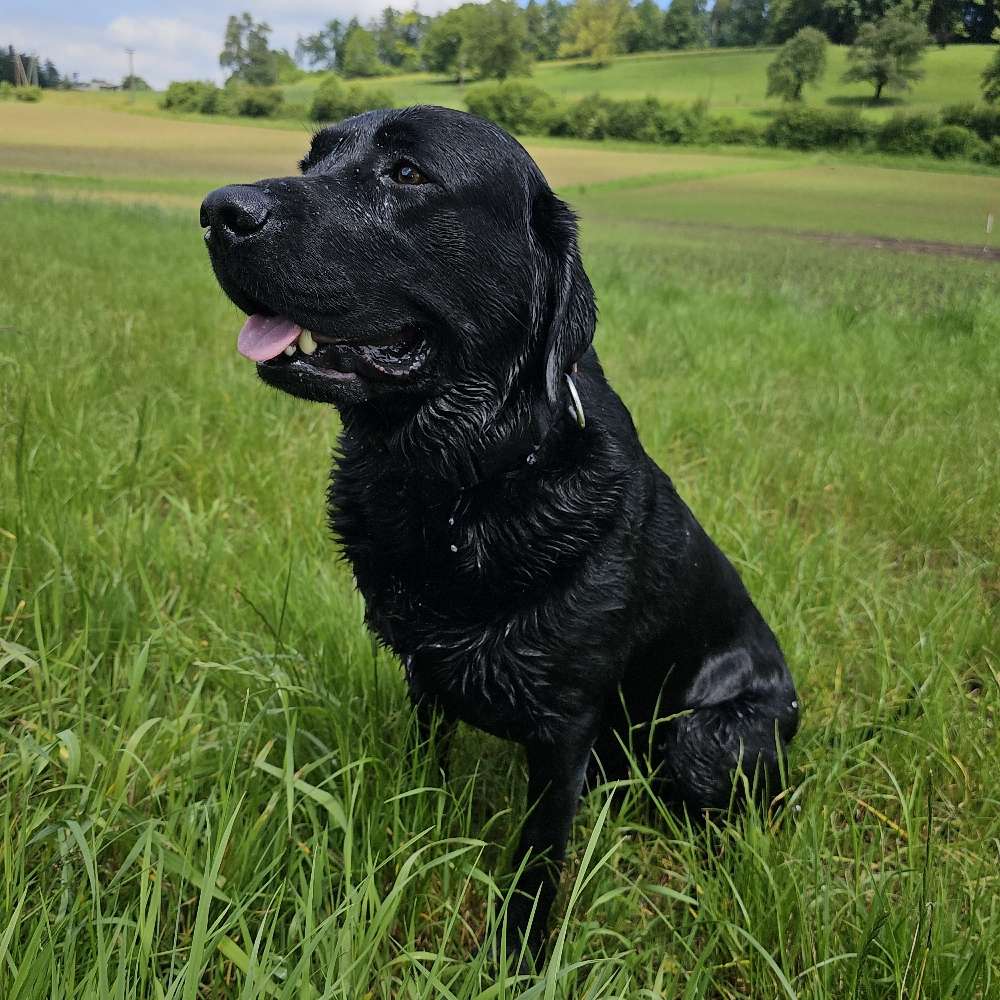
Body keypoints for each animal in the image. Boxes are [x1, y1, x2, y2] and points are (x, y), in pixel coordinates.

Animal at [201, 107, 796, 960]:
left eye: (407, 174)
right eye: (310, 161)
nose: (217, 211)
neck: (458, 484)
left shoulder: (565, 726)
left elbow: (537, 858)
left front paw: (516, 957)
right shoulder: (422, 675)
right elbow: (427, 769)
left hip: (705, 738)